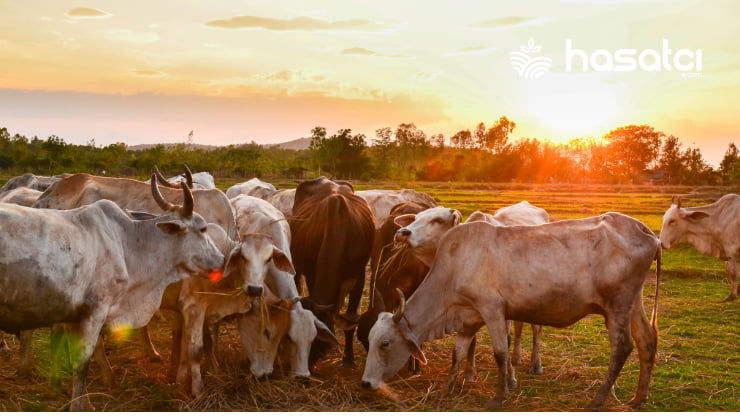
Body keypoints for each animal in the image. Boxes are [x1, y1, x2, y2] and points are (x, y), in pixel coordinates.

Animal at [0, 178, 225, 410]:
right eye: (203, 228)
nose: (222, 260)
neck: (127, 244)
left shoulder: (74, 315)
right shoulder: (95, 311)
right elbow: (82, 362)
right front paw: (80, 405)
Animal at [290, 177, 376, 368]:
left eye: (315, 340)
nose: (305, 370)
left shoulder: (359, 277)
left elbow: (350, 320)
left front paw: (348, 358)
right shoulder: (311, 273)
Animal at [362, 212, 660, 408]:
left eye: (385, 343)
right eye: (369, 339)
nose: (366, 383)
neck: (455, 264)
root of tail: (647, 234)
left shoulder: (492, 309)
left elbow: (500, 353)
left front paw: (499, 395)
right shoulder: (467, 319)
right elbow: (457, 355)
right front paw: (445, 390)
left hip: (617, 305)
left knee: (622, 347)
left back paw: (598, 399)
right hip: (633, 302)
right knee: (646, 340)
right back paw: (639, 398)